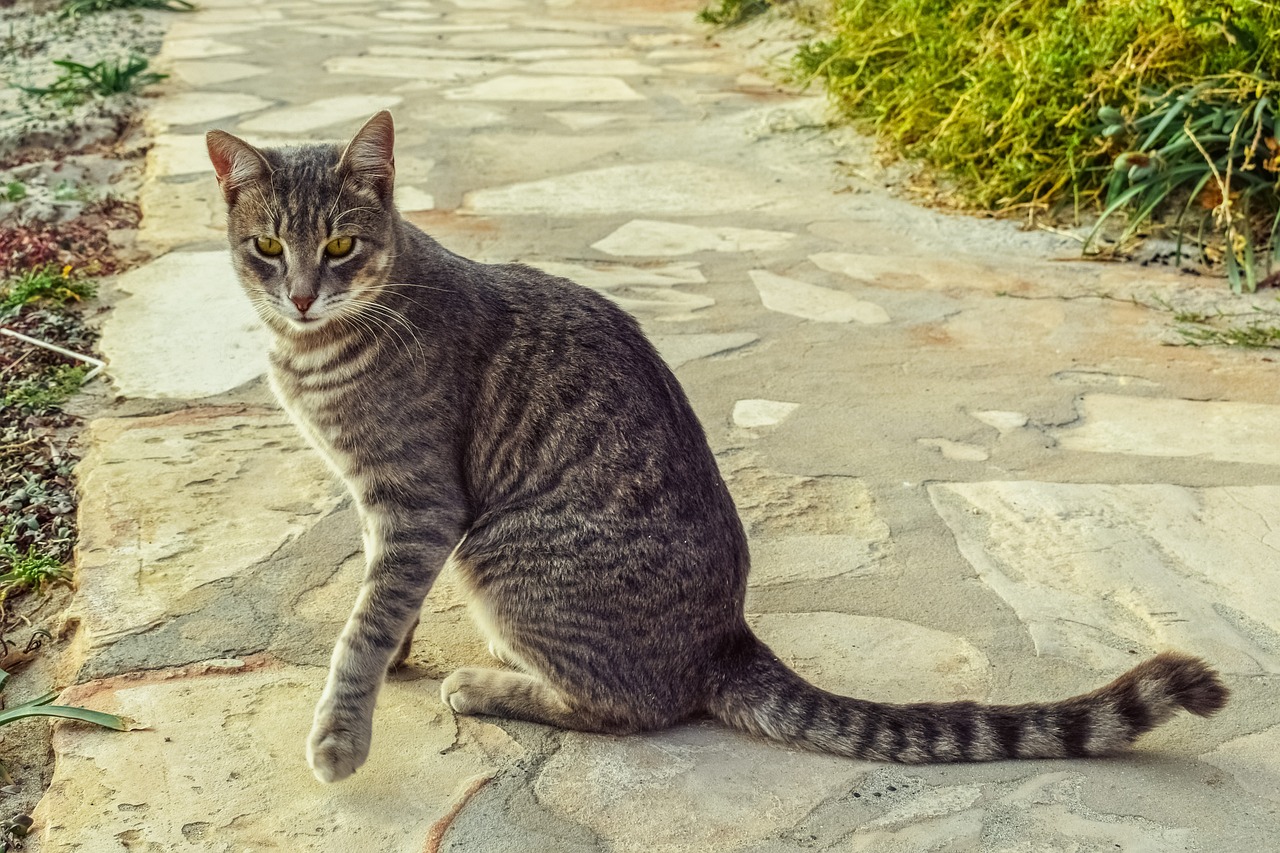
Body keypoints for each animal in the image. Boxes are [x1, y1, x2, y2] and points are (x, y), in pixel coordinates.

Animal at [207, 112, 1228, 783]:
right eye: (268, 246)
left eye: (342, 245)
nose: (303, 294)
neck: (321, 347)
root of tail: (726, 639)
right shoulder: (387, 511)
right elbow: (387, 608)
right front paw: (397, 655)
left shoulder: (420, 504)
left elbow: (365, 626)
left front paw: (343, 732)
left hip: (498, 549)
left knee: (634, 707)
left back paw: (489, 682)